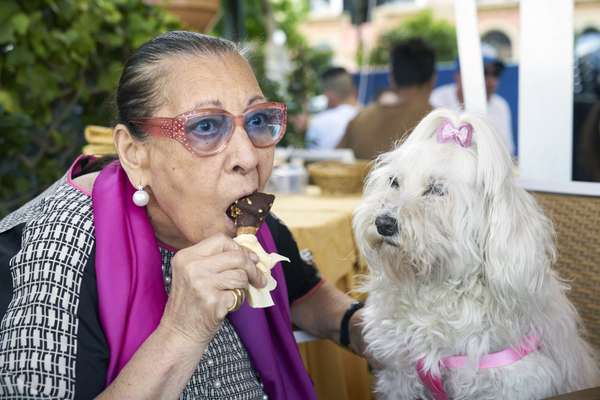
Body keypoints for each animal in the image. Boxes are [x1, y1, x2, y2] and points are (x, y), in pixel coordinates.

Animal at [356, 109, 600, 400]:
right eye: (394, 181)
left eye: (436, 189)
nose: (383, 223)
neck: (436, 290)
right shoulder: (399, 377)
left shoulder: (510, 380)